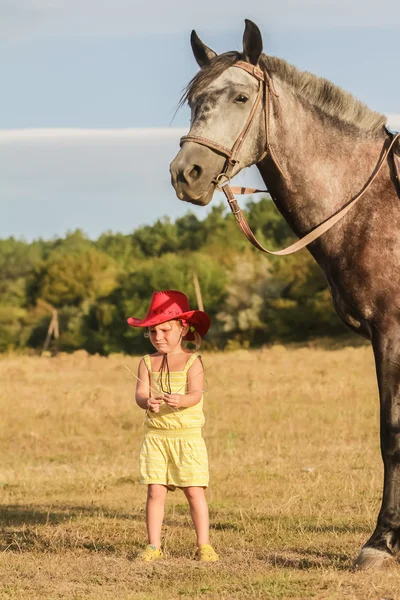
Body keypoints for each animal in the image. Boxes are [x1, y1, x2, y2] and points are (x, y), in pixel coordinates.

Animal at [170, 19, 400, 572]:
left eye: (241, 95)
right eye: (194, 101)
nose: (185, 174)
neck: (372, 203)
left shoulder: (392, 331)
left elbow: (391, 434)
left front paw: (381, 542)